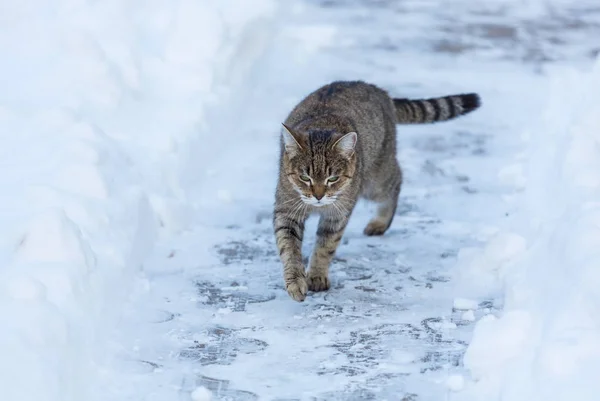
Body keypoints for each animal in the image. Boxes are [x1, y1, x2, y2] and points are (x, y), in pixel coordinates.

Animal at [274, 80, 480, 300]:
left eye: (333, 178)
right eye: (305, 177)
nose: (318, 196)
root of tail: (377, 89)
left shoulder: (338, 214)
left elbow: (325, 246)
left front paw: (317, 275)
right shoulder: (287, 210)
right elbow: (289, 248)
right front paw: (296, 281)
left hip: (375, 182)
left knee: (397, 180)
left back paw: (381, 222)